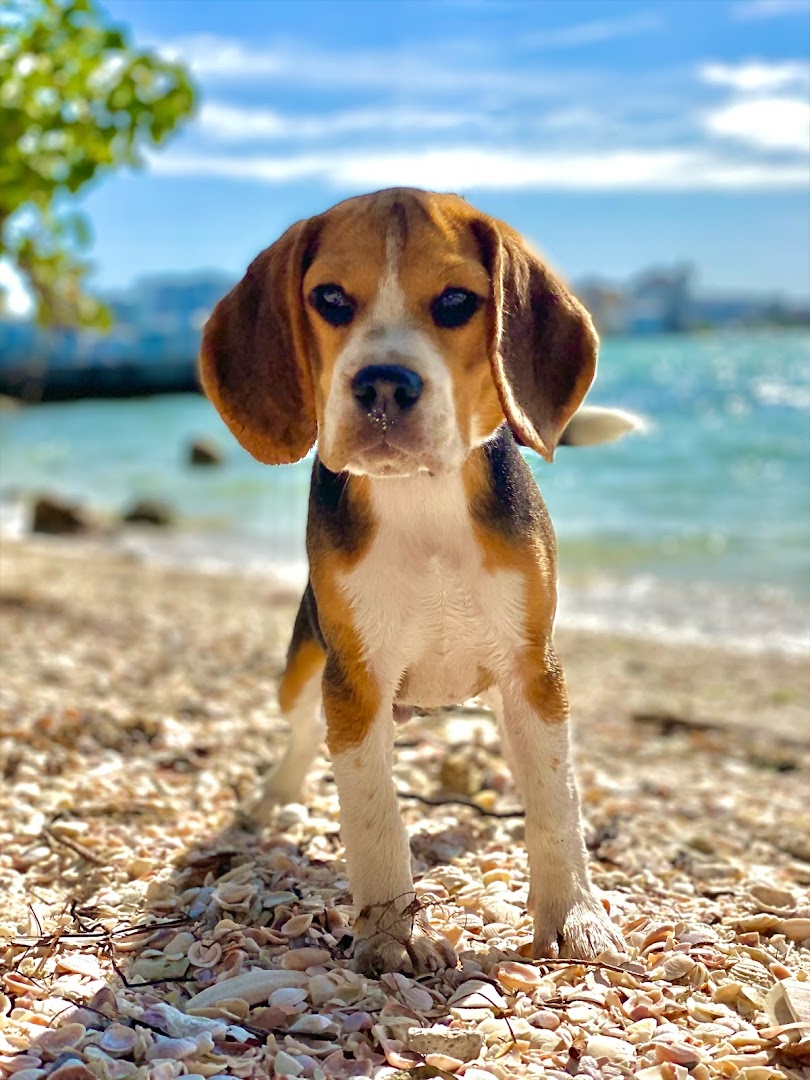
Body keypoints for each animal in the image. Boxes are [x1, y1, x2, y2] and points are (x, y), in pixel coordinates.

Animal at [201, 187, 635, 980]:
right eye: (330, 298)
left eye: (458, 300)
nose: (382, 381)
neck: (421, 500)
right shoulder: (355, 680)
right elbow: (375, 817)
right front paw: (387, 936)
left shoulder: (535, 671)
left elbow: (556, 805)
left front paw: (575, 918)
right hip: (304, 667)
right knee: (302, 730)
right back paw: (274, 796)